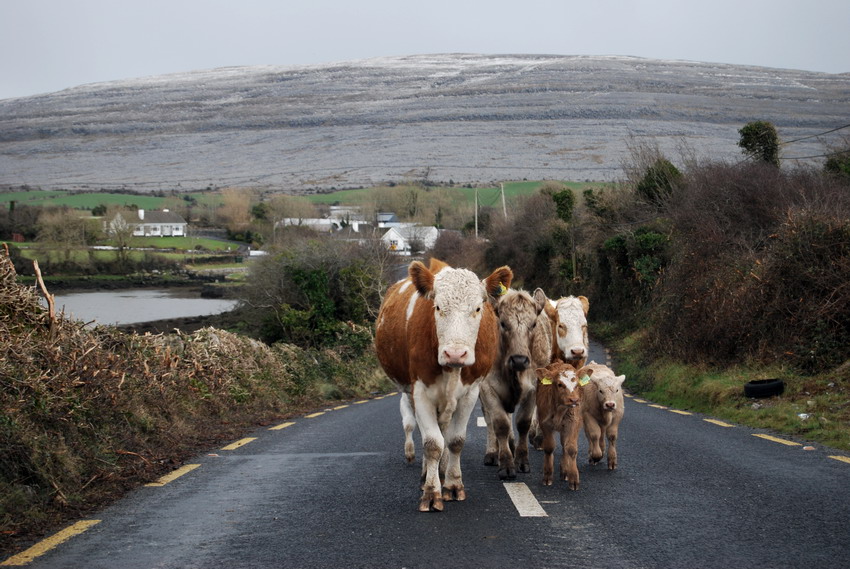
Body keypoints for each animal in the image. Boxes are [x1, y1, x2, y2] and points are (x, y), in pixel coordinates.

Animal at [372, 258, 510, 510]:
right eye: (437, 307)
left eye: (477, 308)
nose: (455, 353)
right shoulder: (419, 392)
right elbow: (432, 443)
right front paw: (431, 491)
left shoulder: (470, 393)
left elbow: (455, 440)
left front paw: (453, 484)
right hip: (409, 393)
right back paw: (427, 473)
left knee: (445, 431)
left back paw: (443, 471)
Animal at [476, 288, 544, 480]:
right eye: (503, 323)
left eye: (533, 324)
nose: (519, 360)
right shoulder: (488, 388)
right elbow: (500, 424)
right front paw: (506, 464)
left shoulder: (533, 389)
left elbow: (523, 423)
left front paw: (521, 461)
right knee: (489, 420)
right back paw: (493, 452)